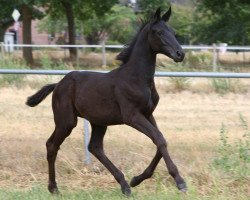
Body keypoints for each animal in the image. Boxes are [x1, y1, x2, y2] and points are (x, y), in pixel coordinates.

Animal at [26, 7, 188, 195]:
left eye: (174, 33)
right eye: (159, 32)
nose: (180, 54)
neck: (136, 78)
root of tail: (58, 84)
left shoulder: (148, 114)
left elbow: (159, 140)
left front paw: (137, 179)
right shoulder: (132, 116)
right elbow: (159, 139)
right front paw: (180, 181)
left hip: (98, 121)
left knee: (94, 147)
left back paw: (125, 185)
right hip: (66, 121)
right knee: (52, 145)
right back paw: (53, 188)